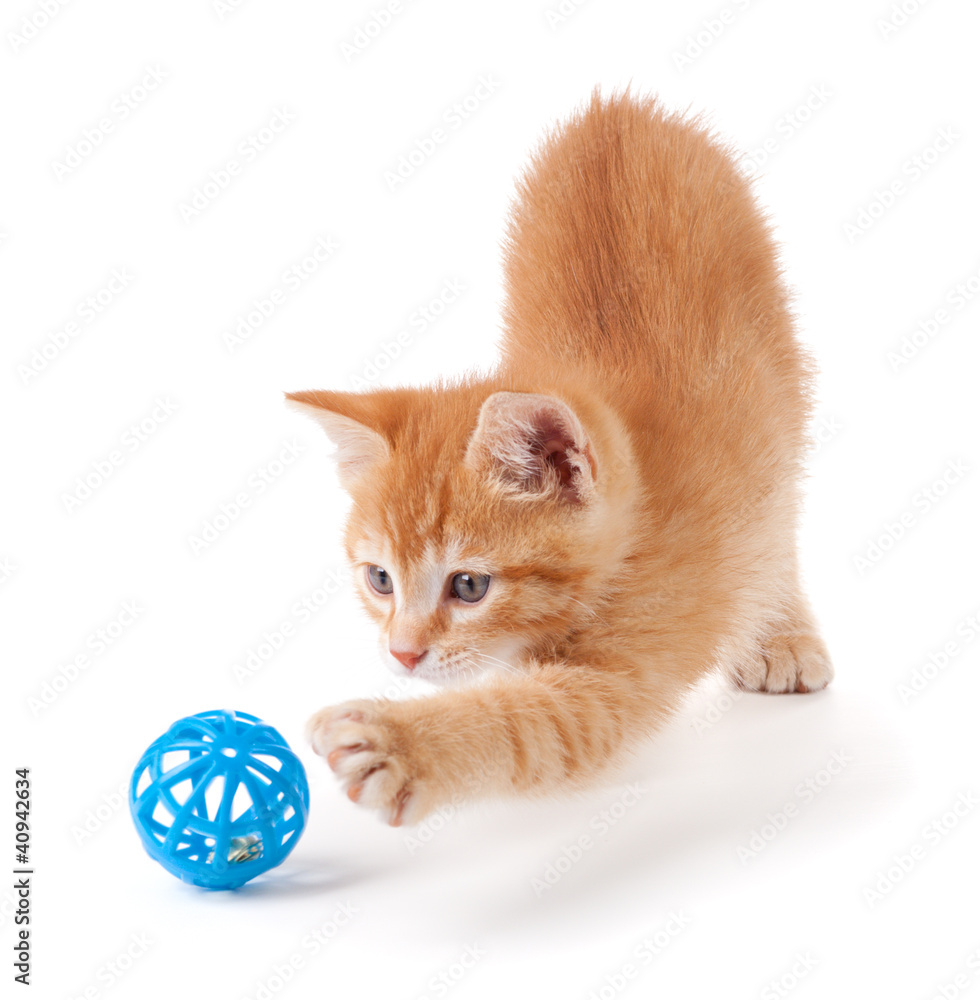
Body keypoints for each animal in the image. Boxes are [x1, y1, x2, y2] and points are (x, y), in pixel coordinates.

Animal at [288, 90, 832, 824]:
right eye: (380, 580)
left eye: (469, 585)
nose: (402, 654)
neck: (637, 519)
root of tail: (621, 108)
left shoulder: (629, 664)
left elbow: (532, 723)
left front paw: (400, 744)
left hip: (782, 382)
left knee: (781, 507)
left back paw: (781, 631)